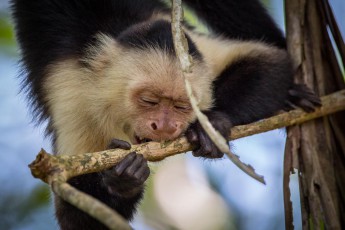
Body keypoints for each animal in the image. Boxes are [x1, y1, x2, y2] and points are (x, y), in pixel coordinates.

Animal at [10, 0, 320, 228]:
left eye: (182, 106)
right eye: (149, 101)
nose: (165, 126)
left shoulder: (192, 51)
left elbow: (272, 62)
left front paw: (211, 126)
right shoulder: (75, 100)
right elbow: (77, 217)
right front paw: (125, 180)